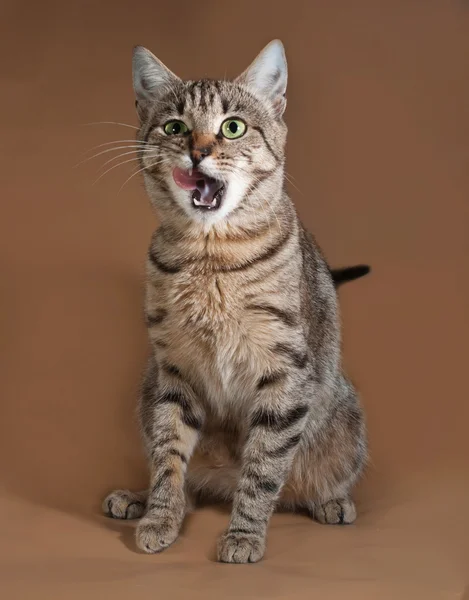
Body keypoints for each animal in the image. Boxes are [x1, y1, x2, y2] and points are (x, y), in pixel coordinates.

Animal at [103, 39, 370, 560]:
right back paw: (138, 499)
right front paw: (160, 517)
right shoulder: (173, 369)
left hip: (344, 419)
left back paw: (331, 501)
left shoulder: (285, 371)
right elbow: (168, 457)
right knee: (187, 477)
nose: (198, 151)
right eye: (174, 127)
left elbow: (264, 468)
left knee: (302, 479)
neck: (210, 256)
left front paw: (244, 534)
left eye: (233, 127)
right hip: (147, 389)